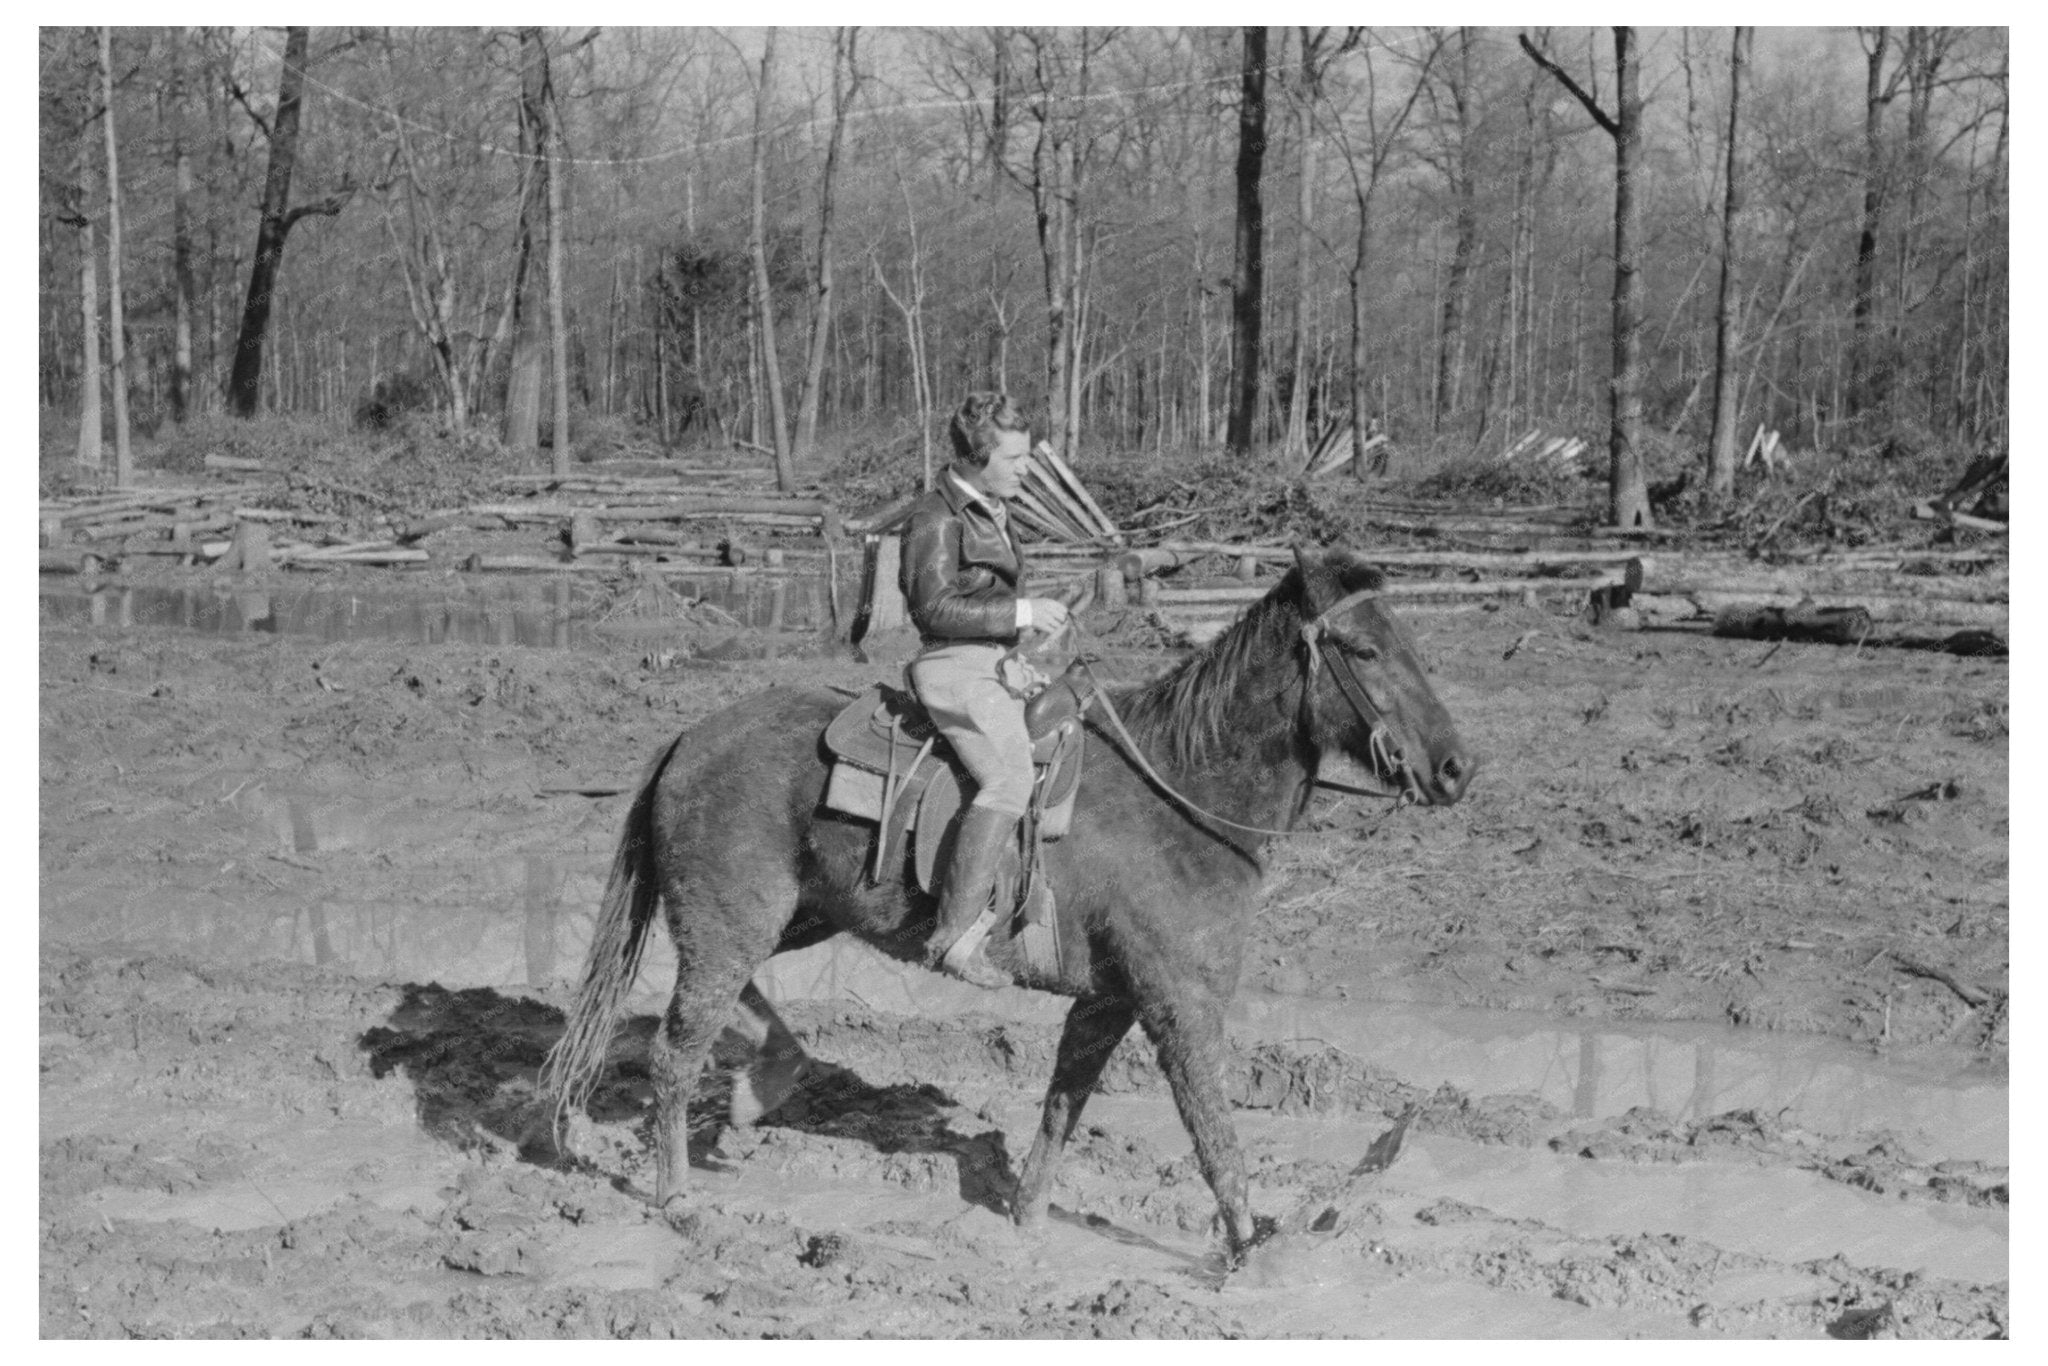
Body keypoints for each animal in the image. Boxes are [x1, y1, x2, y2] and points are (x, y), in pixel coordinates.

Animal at [540, 540, 1474, 1261]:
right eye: (1363, 650)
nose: (1456, 768)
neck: (1182, 791)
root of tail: (688, 739)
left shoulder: (1108, 1001)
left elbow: (1064, 1104)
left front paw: (1026, 1221)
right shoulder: (1181, 1005)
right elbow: (1213, 1131)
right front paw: (1250, 1250)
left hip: (791, 915)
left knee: (734, 1006)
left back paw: (765, 1082)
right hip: (730, 919)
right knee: (677, 1048)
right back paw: (678, 1198)